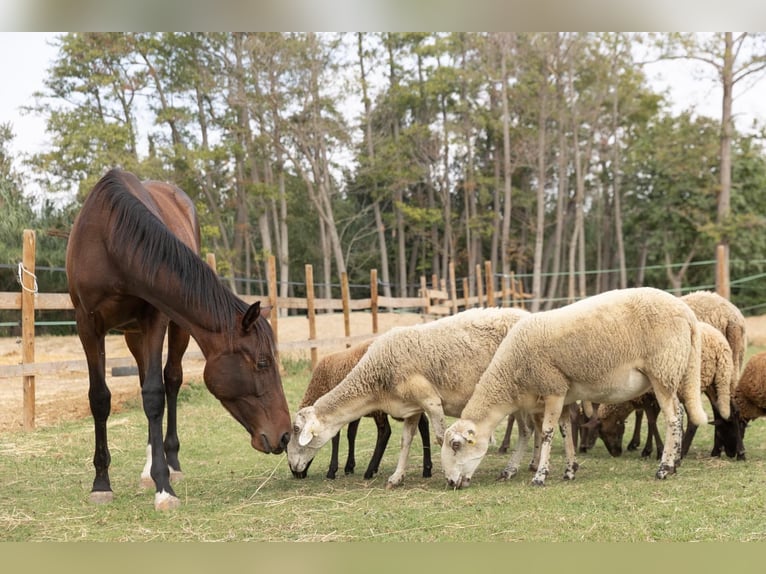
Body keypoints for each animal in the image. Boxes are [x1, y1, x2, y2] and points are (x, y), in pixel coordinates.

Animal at [66, 168, 291, 510]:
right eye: (263, 363)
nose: (285, 435)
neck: (109, 239)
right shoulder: (87, 325)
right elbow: (100, 398)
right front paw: (101, 484)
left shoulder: (156, 318)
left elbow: (155, 394)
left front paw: (164, 485)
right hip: (133, 335)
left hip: (175, 329)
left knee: (170, 381)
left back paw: (168, 464)